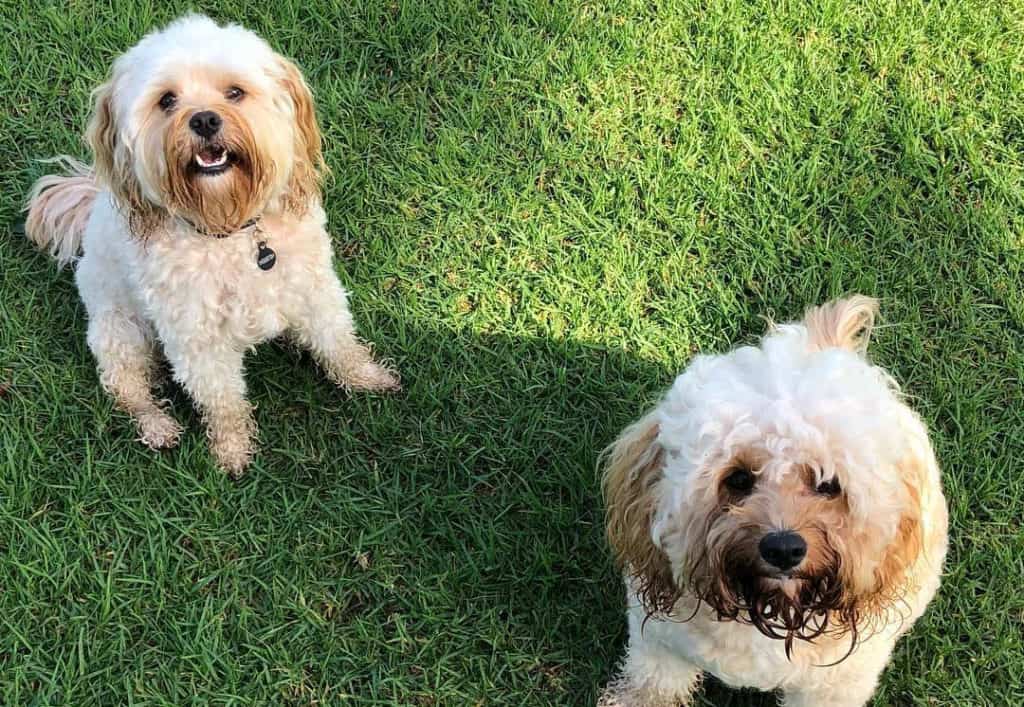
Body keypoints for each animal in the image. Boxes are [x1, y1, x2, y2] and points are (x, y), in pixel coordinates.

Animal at [23, 15, 399, 473]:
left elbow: (339, 342)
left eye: (234, 92)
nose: (203, 120)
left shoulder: (315, 291)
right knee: (128, 390)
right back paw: (158, 427)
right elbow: (223, 400)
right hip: (118, 333)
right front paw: (233, 451)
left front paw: (369, 379)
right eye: (167, 100)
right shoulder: (196, 340)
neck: (230, 227)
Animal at [598, 295, 950, 704]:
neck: (771, 606)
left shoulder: (833, 686)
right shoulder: (658, 638)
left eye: (828, 484)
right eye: (737, 478)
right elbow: (653, 681)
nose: (783, 550)